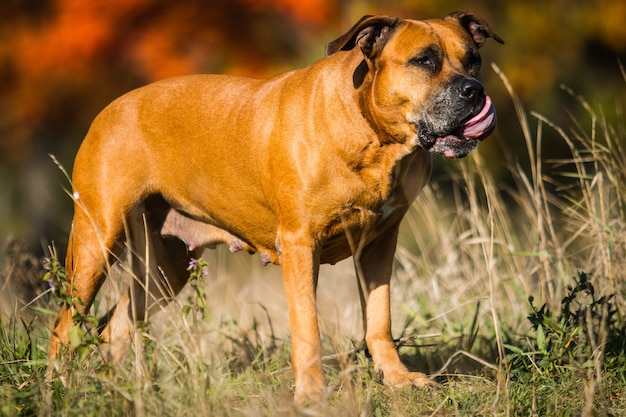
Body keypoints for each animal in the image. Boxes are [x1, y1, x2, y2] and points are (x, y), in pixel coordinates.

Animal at [50, 12, 502, 404]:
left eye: (474, 60)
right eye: (424, 61)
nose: (474, 90)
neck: (372, 135)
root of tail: (107, 110)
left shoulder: (379, 245)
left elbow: (379, 318)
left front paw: (396, 379)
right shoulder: (301, 246)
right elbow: (307, 326)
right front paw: (312, 394)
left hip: (164, 269)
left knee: (115, 327)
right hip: (94, 242)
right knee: (64, 327)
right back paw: (58, 389)